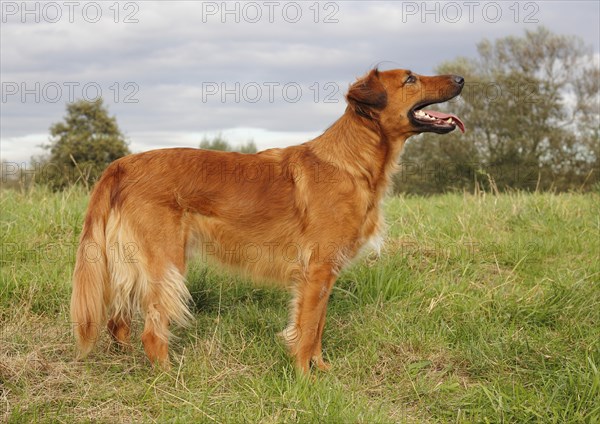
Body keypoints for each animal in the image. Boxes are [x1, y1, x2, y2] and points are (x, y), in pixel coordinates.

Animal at [70, 68, 464, 374]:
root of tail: (122, 164)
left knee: (118, 322)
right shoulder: (317, 269)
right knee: (151, 332)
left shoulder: (324, 273)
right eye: (411, 78)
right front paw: (304, 379)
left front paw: (322, 370)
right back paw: (168, 376)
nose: (461, 78)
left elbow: (317, 327)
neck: (353, 161)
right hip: (165, 263)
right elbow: (307, 330)